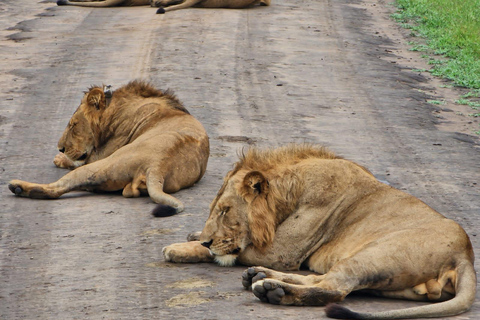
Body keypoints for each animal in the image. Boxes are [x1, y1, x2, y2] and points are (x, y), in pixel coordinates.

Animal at [8, 80, 209, 215]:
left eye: (73, 125)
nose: (60, 148)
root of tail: (158, 166)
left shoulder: (103, 153)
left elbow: (77, 160)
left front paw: (60, 158)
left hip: (104, 164)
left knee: (55, 189)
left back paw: (18, 186)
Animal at [162, 145, 476, 320]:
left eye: (225, 211)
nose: (207, 238)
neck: (291, 191)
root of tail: (466, 255)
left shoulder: (282, 252)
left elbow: (225, 252)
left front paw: (182, 246)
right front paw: (194, 237)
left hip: (374, 253)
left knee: (333, 289)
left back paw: (272, 291)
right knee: (320, 279)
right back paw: (259, 277)